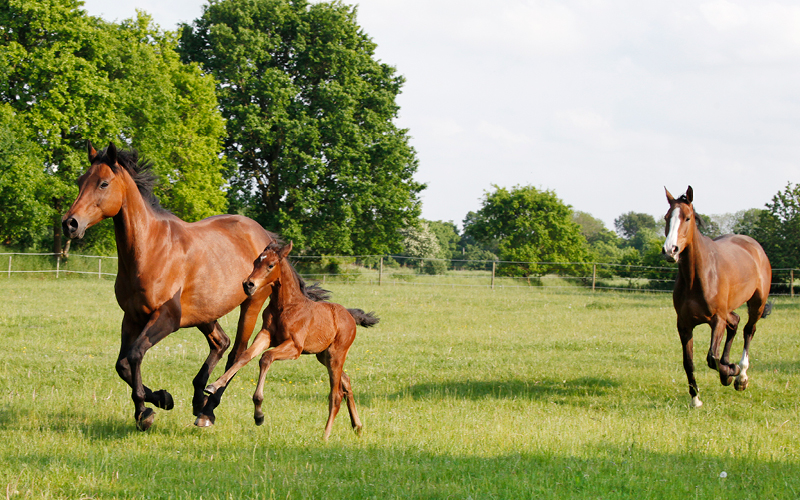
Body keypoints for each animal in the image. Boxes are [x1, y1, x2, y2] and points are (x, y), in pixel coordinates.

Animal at [61, 141, 326, 430]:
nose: (70, 223)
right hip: (205, 312)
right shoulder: (131, 317)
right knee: (221, 343)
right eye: (80, 181)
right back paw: (199, 398)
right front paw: (162, 399)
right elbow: (122, 364)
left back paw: (208, 410)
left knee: (237, 353)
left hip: (251, 303)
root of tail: (265, 237)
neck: (151, 249)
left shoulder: (166, 318)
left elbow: (135, 355)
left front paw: (146, 411)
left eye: (104, 183)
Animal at [197, 242, 378, 442]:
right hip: (324, 356)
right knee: (346, 381)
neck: (285, 306)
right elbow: (245, 356)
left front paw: (258, 414)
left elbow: (266, 357)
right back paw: (357, 426)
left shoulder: (295, 347)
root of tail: (350, 316)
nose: (248, 284)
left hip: (336, 354)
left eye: (271, 265)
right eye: (255, 262)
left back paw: (326, 435)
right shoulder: (266, 335)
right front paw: (214, 385)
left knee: (336, 394)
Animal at [660, 186, 772, 408]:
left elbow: (712, 357)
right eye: (667, 217)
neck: (697, 277)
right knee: (735, 322)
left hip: (757, 304)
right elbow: (689, 362)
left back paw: (741, 376)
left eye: (687, 218)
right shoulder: (684, 324)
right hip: (729, 309)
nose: (670, 250)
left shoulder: (716, 320)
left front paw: (731, 372)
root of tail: (754, 245)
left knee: (748, 330)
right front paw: (695, 399)